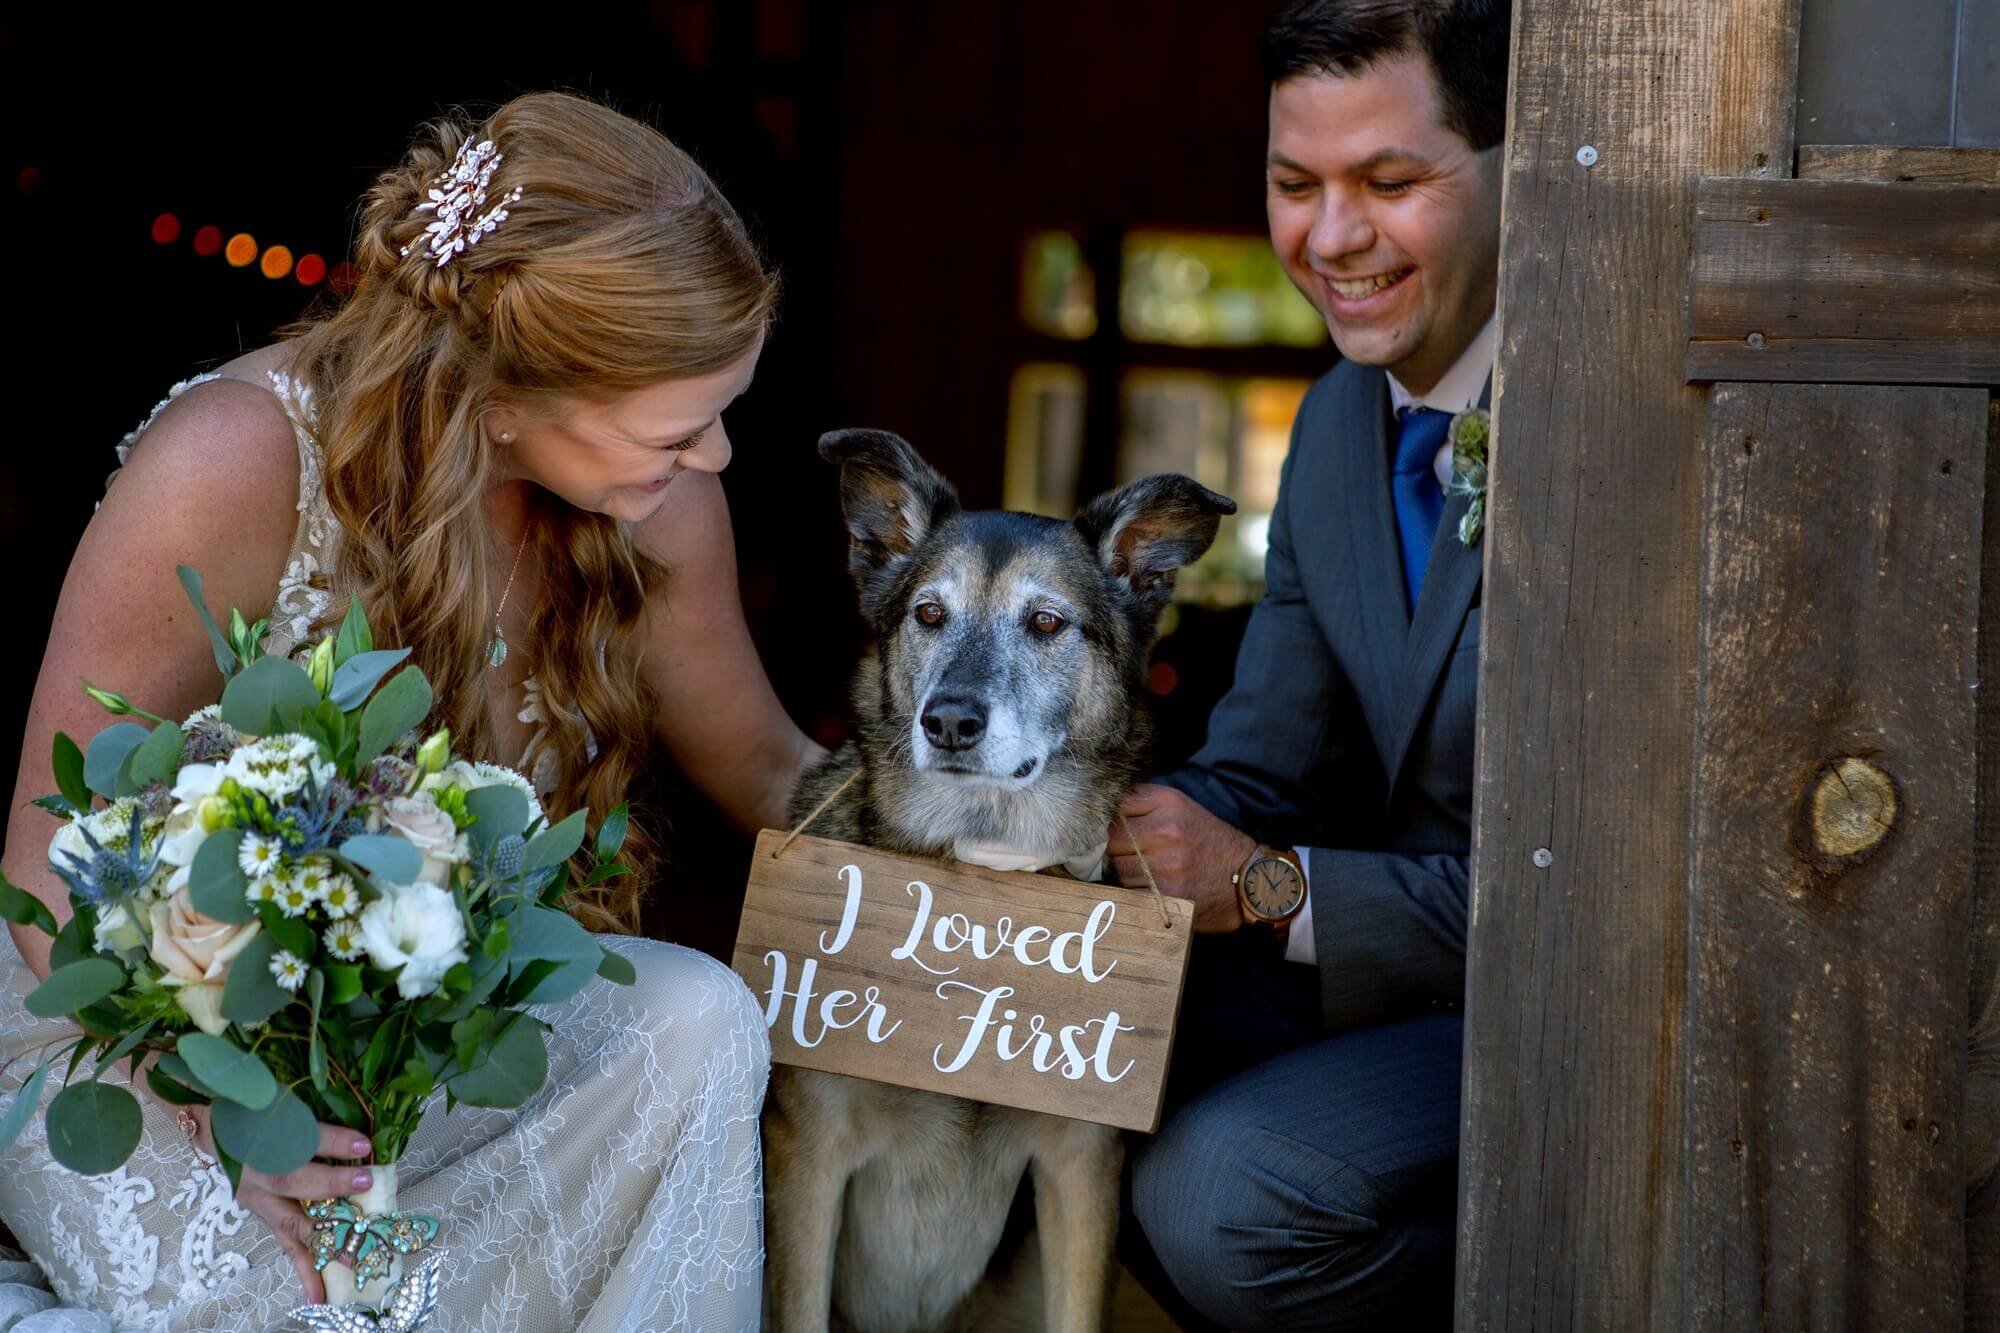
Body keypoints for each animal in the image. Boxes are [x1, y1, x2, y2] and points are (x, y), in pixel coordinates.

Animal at [764, 430, 1232, 1320]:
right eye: (929, 615)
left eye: (1046, 621)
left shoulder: (1083, 1168)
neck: (980, 864)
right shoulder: (805, 1158)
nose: (948, 720)